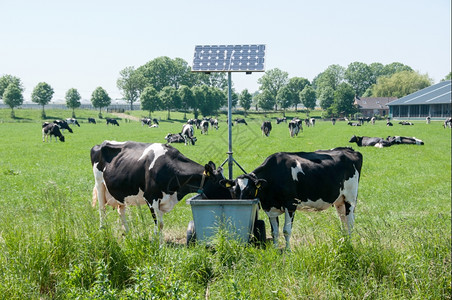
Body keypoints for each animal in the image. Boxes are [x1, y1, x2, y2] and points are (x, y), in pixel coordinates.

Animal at [90, 139, 231, 233]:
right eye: (221, 183)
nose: (231, 197)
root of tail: (100, 144)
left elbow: (161, 224)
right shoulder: (150, 197)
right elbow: (159, 225)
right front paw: (158, 247)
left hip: (120, 192)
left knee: (121, 210)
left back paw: (128, 232)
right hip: (99, 184)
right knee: (102, 209)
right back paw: (103, 230)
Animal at [222, 146, 364, 250]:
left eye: (250, 191)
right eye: (233, 191)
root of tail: (349, 150)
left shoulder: (290, 205)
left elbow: (286, 230)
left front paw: (288, 251)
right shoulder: (270, 208)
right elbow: (274, 231)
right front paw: (275, 249)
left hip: (350, 198)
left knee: (350, 222)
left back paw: (349, 243)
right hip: (340, 200)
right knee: (343, 221)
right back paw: (343, 240)